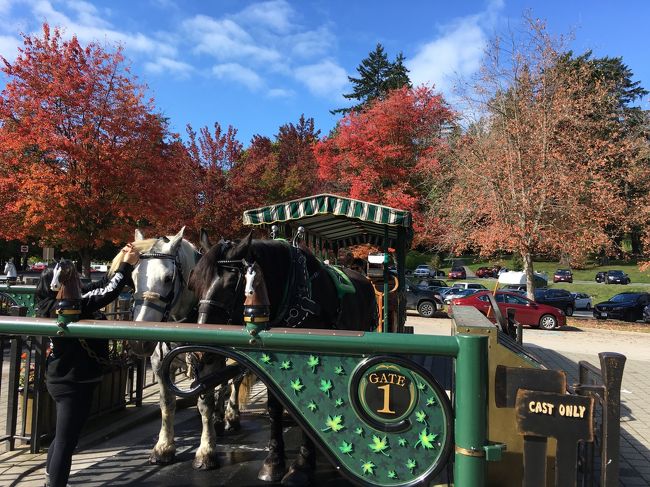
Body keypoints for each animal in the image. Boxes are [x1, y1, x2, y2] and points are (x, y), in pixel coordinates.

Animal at [187, 232, 378, 484]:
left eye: (230, 285)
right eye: (194, 284)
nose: (199, 354)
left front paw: (302, 466)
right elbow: (274, 408)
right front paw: (274, 462)